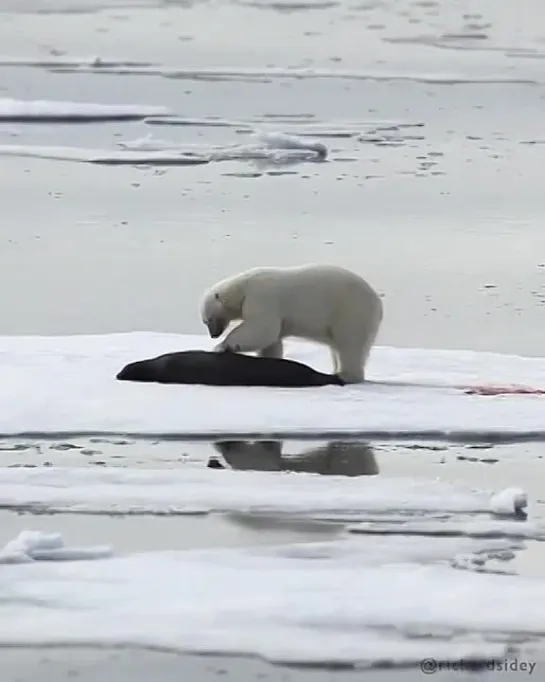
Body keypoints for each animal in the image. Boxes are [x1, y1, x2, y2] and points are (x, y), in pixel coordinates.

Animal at [200, 262, 382, 382]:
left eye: (208, 320)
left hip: (350, 311)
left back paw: (346, 375)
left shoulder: (261, 298)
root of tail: (378, 303)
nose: (213, 335)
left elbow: (263, 329)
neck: (241, 288)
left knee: (350, 343)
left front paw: (222, 346)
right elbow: (272, 340)